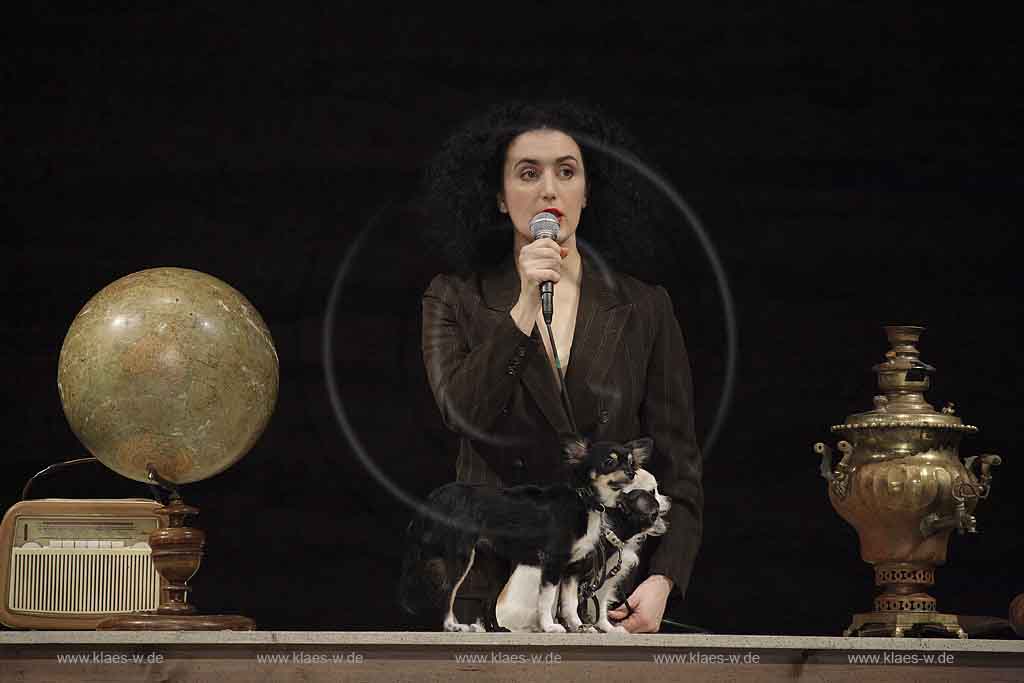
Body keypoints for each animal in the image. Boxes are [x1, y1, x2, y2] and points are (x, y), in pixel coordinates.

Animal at [397, 440, 647, 634]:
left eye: (631, 463)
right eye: (609, 462)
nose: (631, 473)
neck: (584, 500)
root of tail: (434, 499)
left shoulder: (571, 570)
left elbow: (570, 603)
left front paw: (578, 627)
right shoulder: (553, 562)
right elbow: (547, 600)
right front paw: (549, 626)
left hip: (499, 567)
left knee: (487, 601)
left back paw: (496, 629)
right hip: (460, 558)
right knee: (447, 592)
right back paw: (452, 626)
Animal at [495, 466, 671, 634]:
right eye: (653, 492)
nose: (669, 499)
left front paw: (599, 627)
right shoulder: (584, 577)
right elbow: (586, 606)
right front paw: (595, 626)